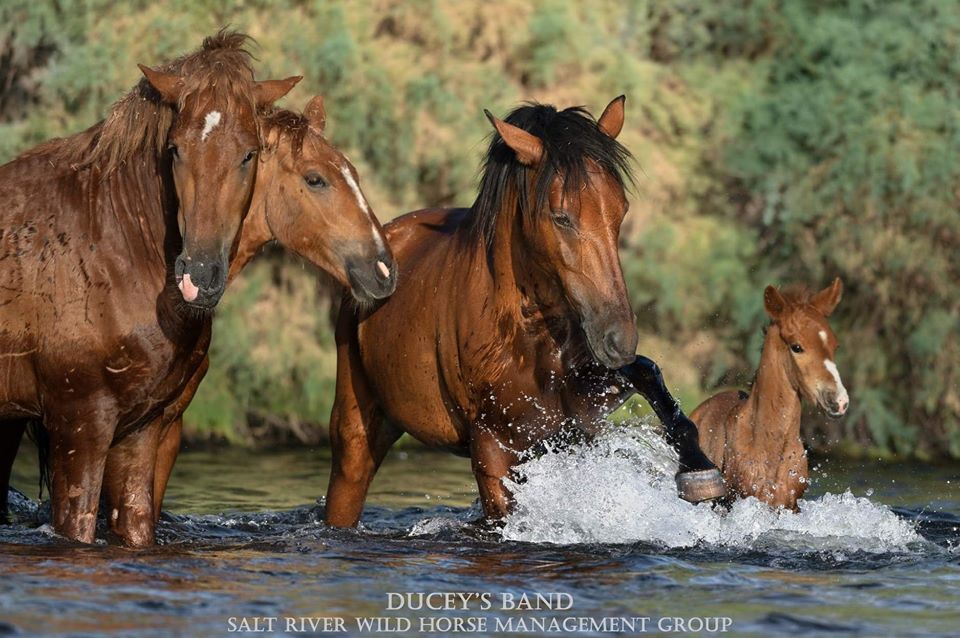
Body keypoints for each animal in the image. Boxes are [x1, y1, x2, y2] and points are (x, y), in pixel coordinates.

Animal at [0, 31, 301, 544]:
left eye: (249, 154)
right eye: (175, 148)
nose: (198, 275)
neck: (109, 244)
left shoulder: (140, 430)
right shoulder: (79, 426)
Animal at [324, 97, 725, 528]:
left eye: (621, 210)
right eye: (561, 216)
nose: (618, 338)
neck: (527, 342)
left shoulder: (579, 420)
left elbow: (648, 373)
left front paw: (701, 473)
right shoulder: (492, 449)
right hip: (358, 433)